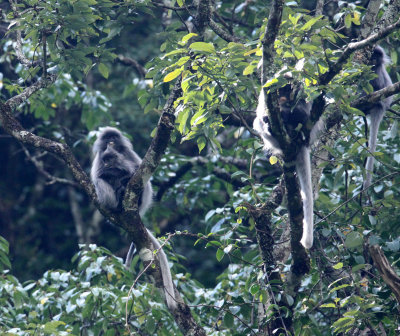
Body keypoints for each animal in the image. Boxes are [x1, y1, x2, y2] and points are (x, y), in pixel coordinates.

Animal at [90, 126, 178, 310]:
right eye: (107, 138)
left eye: (113, 138)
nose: (110, 142)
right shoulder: (100, 158)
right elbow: (98, 176)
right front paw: (112, 174)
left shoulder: (126, 154)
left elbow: (137, 169)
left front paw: (122, 175)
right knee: (101, 182)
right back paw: (117, 201)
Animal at [255, 82, 324, 248]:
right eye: (280, 90)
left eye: (288, 89)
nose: (283, 97)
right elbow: (261, 113)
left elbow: (305, 110)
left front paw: (285, 112)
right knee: (259, 122)